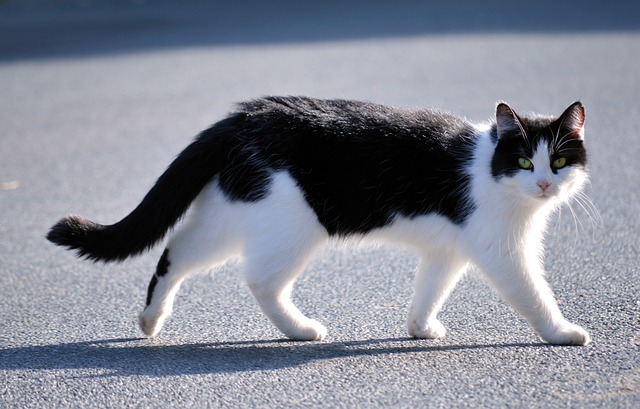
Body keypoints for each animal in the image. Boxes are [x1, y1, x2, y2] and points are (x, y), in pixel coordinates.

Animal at [47, 95, 592, 344]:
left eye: (558, 161)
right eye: (523, 162)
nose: (545, 184)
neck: (488, 168)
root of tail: (243, 116)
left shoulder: (448, 248)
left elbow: (431, 287)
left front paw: (420, 327)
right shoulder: (503, 251)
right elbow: (533, 293)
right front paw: (562, 332)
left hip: (232, 210)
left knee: (174, 252)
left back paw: (151, 318)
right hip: (293, 225)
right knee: (259, 278)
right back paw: (300, 329)